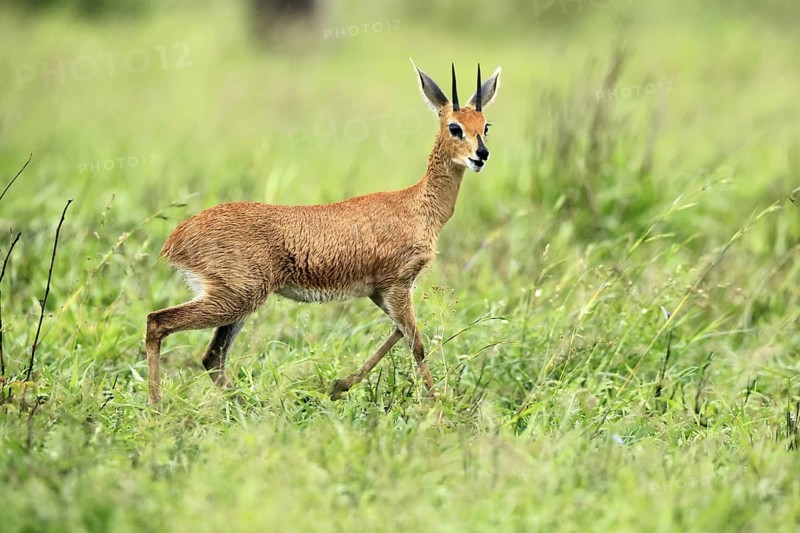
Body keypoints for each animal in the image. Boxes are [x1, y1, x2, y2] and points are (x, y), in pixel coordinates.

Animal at [146, 61, 501, 405]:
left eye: (485, 126)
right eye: (455, 127)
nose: (481, 155)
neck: (417, 205)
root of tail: (177, 237)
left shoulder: (380, 291)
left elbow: (398, 333)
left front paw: (338, 386)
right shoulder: (397, 286)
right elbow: (416, 342)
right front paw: (438, 406)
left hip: (235, 303)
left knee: (211, 357)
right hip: (234, 299)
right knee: (158, 322)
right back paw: (157, 407)